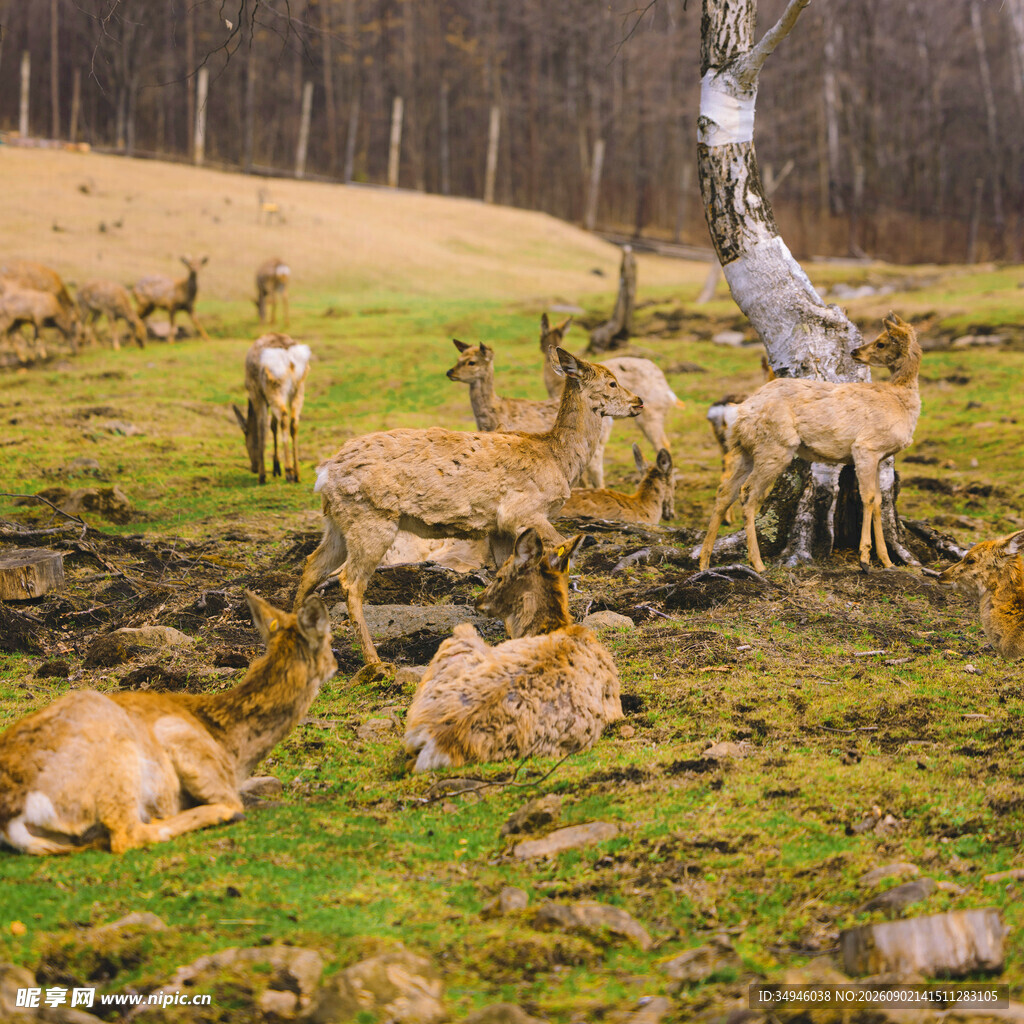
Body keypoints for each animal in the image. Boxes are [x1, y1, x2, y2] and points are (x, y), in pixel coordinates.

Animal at [0, 592, 335, 855]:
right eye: (329, 639)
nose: (336, 664)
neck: (233, 746)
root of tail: (15, 813)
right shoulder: (186, 743)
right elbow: (236, 798)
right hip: (117, 763)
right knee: (127, 835)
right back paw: (216, 816)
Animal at [232, 333, 310, 484]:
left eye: (246, 439)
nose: (253, 468)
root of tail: (289, 357)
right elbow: (273, 425)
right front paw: (275, 468)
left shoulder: (256, 392)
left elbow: (262, 428)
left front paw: (263, 475)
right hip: (298, 387)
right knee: (294, 421)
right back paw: (297, 473)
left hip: (274, 384)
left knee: (284, 417)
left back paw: (289, 472)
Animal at [294, 347, 643, 667]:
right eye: (612, 382)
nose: (638, 401)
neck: (559, 459)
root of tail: (324, 472)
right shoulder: (524, 512)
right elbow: (561, 555)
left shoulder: (500, 528)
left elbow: (506, 570)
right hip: (371, 518)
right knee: (349, 581)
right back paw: (374, 661)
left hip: (338, 522)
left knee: (311, 565)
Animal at [539, 313, 682, 487]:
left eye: (540, 335)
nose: (638, 400)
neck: (555, 386)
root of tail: (668, 389)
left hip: (652, 414)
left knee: (662, 443)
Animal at [698, 312, 923, 574]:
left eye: (881, 342)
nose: (855, 352)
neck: (900, 401)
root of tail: (738, 413)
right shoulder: (865, 447)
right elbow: (867, 498)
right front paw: (865, 559)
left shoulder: (880, 456)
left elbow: (878, 501)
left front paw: (887, 561)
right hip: (774, 447)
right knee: (748, 493)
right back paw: (758, 564)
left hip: (746, 450)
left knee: (725, 492)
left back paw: (704, 561)